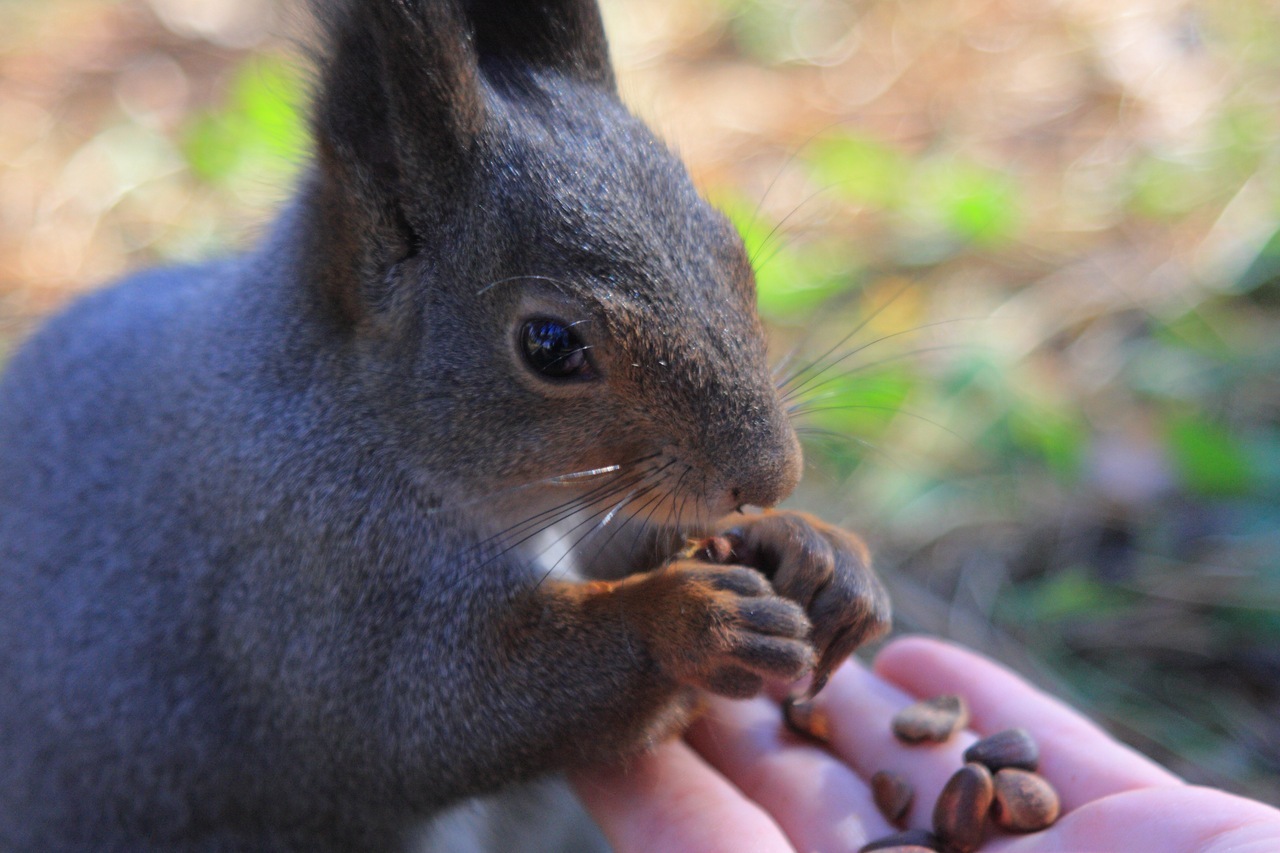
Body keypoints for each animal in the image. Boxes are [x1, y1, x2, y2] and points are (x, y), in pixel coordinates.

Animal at [0, 1, 890, 850]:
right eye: (549, 344)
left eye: (731, 248)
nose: (771, 474)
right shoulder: (297, 576)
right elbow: (425, 713)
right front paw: (691, 621)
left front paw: (812, 550)